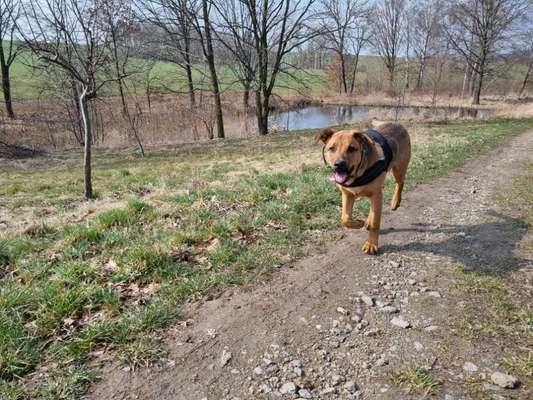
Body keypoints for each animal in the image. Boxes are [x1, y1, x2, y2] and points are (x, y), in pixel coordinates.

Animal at [316, 122, 412, 253]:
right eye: (332, 148)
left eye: (351, 148)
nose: (339, 164)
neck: (358, 174)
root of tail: (398, 124)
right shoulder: (347, 194)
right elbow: (345, 218)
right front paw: (358, 223)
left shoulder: (376, 194)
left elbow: (376, 223)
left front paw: (371, 244)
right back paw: (367, 221)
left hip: (399, 169)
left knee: (400, 183)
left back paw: (395, 201)